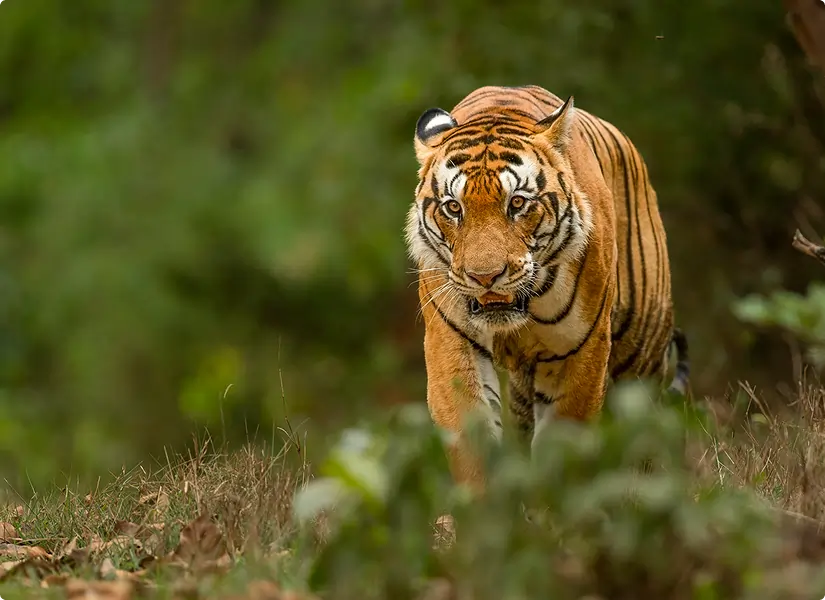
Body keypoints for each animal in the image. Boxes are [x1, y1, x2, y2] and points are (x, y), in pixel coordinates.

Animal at [405, 84, 690, 491]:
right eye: (454, 208)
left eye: (517, 203)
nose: (485, 277)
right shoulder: (452, 343)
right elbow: (474, 442)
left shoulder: (581, 348)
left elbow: (564, 446)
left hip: (641, 352)